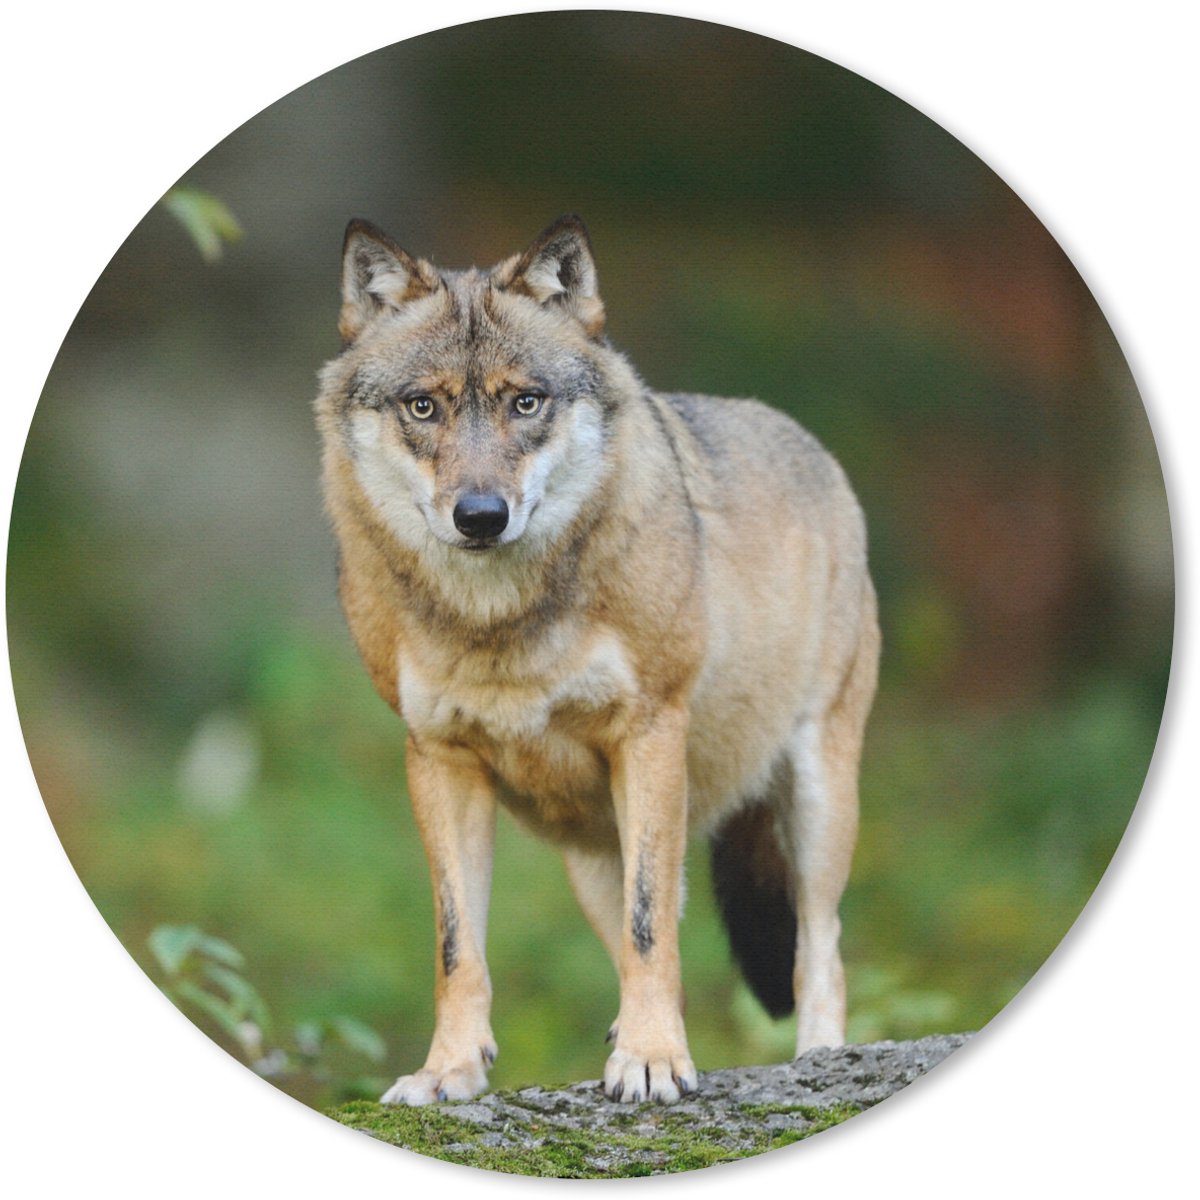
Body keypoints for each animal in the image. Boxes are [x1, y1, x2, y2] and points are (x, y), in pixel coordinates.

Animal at [315, 216, 879, 1105]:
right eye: (422, 406)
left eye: (525, 401)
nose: (481, 516)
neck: (500, 627)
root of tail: (810, 444)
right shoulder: (438, 760)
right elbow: (458, 946)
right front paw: (448, 1071)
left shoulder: (649, 732)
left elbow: (653, 933)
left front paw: (650, 1061)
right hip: (590, 856)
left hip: (817, 799)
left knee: (818, 945)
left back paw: (815, 1062)